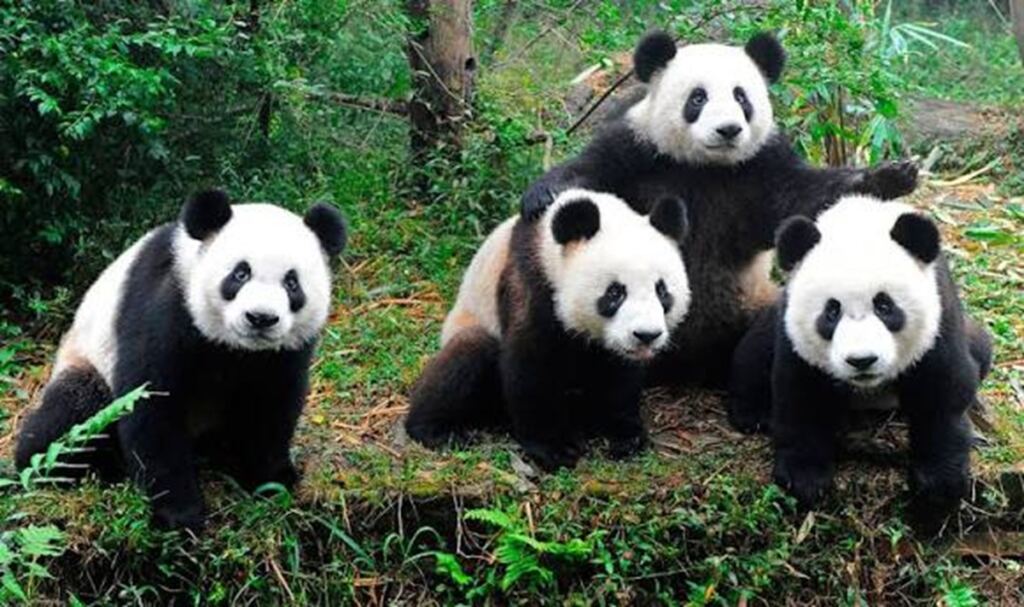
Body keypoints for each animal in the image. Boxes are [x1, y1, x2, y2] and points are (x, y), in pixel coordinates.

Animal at [15, 190, 347, 531]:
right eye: (240, 273)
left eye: (292, 283)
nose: (261, 318)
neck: (236, 346)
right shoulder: (166, 304)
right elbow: (152, 404)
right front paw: (179, 514)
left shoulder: (284, 352)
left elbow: (272, 405)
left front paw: (272, 481)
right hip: (85, 360)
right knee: (73, 413)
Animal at [405, 189, 691, 471]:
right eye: (615, 292)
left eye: (662, 290)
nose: (647, 335)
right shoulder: (531, 281)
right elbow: (531, 365)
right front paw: (554, 449)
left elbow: (619, 374)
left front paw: (625, 435)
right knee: (467, 354)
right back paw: (436, 430)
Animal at [520, 30, 919, 387]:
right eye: (697, 97)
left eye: (742, 97)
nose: (728, 130)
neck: (705, 166)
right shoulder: (637, 150)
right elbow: (591, 173)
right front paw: (543, 195)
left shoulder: (760, 166)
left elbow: (804, 198)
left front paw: (891, 176)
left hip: (752, 302)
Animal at [727, 195, 992, 529]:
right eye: (831, 311)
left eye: (884, 306)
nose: (862, 360)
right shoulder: (794, 333)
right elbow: (800, 394)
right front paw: (804, 478)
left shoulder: (939, 317)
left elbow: (943, 390)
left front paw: (938, 487)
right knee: (755, 351)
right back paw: (753, 414)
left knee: (982, 349)